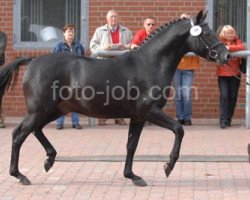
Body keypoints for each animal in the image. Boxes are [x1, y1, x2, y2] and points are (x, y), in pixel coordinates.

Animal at [0, 10, 230, 186]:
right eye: (206, 33)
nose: (226, 55)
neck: (149, 63)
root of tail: (32, 61)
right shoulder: (149, 112)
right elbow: (178, 129)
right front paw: (168, 166)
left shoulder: (138, 117)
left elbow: (131, 145)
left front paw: (133, 176)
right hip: (40, 110)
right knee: (19, 134)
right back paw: (20, 175)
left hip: (55, 110)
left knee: (35, 130)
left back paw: (49, 159)